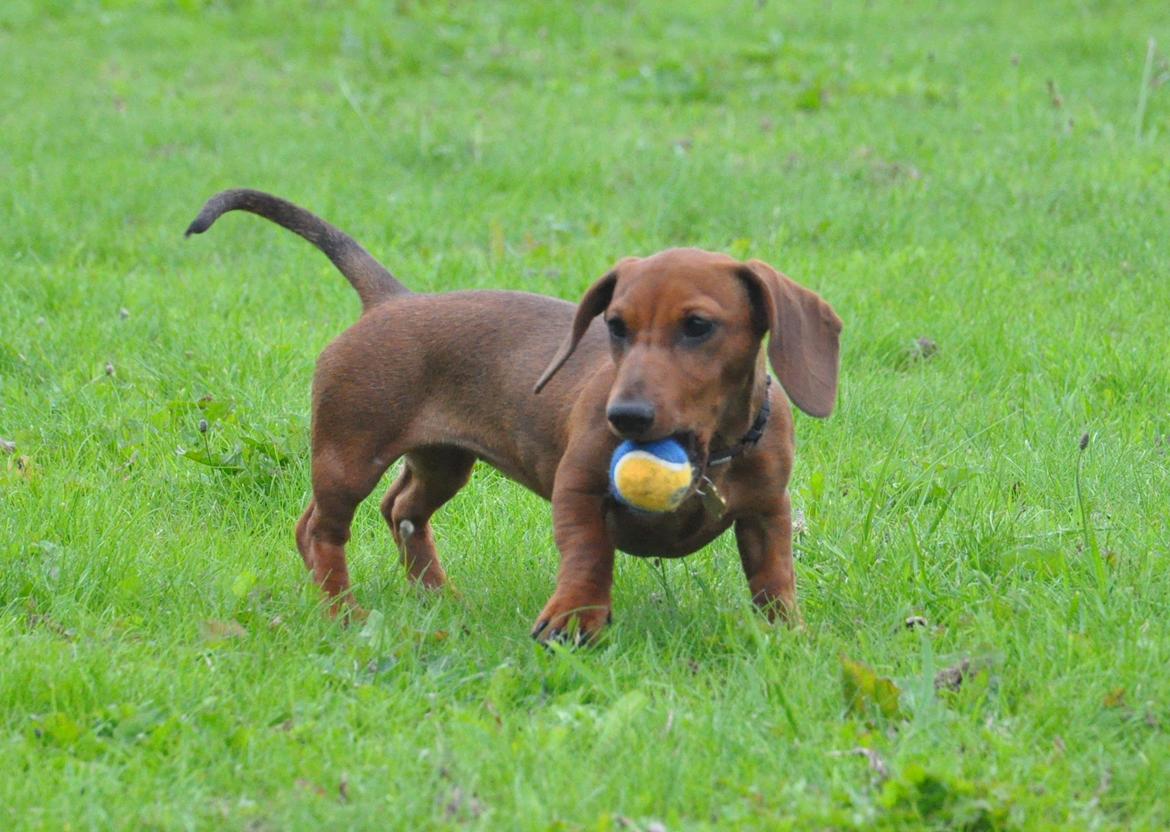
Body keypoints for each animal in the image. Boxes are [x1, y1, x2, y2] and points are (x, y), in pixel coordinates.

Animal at [184, 190, 842, 645]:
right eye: (616, 326)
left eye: (699, 326)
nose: (625, 416)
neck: (713, 449)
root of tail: (390, 301)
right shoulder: (578, 489)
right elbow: (588, 552)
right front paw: (573, 619)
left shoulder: (766, 512)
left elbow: (774, 576)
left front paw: (788, 637)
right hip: (349, 454)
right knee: (320, 530)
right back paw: (344, 614)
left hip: (443, 462)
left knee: (402, 511)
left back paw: (439, 598)